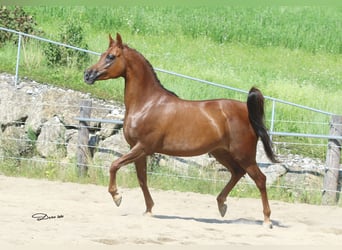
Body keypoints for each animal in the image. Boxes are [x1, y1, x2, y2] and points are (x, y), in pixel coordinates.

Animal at [85, 32, 278, 227]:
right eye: (103, 54)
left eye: (111, 57)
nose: (88, 74)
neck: (147, 104)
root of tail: (246, 110)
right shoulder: (137, 149)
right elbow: (142, 179)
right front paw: (149, 210)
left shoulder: (142, 147)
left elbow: (114, 165)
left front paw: (117, 196)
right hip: (221, 152)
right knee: (237, 173)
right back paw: (222, 205)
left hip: (244, 155)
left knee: (260, 179)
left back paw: (267, 219)